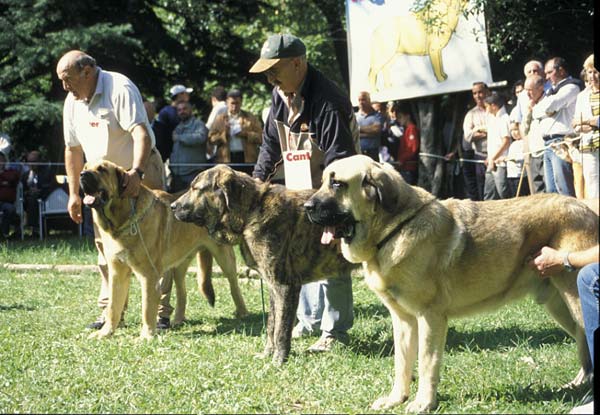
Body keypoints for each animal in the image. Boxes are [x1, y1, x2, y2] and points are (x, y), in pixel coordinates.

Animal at [79, 161, 248, 340]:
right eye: (85, 167)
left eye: (102, 169)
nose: (82, 175)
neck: (122, 219)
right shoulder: (117, 272)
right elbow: (113, 307)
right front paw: (105, 333)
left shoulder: (148, 275)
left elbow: (147, 308)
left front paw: (146, 336)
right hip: (180, 265)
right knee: (182, 293)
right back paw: (178, 320)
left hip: (224, 257)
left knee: (234, 286)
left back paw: (242, 313)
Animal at [308, 155, 596, 412]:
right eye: (323, 181)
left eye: (337, 184)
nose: (307, 207)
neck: (394, 229)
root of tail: (587, 208)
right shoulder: (403, 321)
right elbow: (402, 364)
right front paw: (395, 400)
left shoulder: (430, 317)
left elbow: (426, 363)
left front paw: (423, 403)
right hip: (560, 306)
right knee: (584, 343)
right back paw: (578, 385)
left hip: (575, 300)